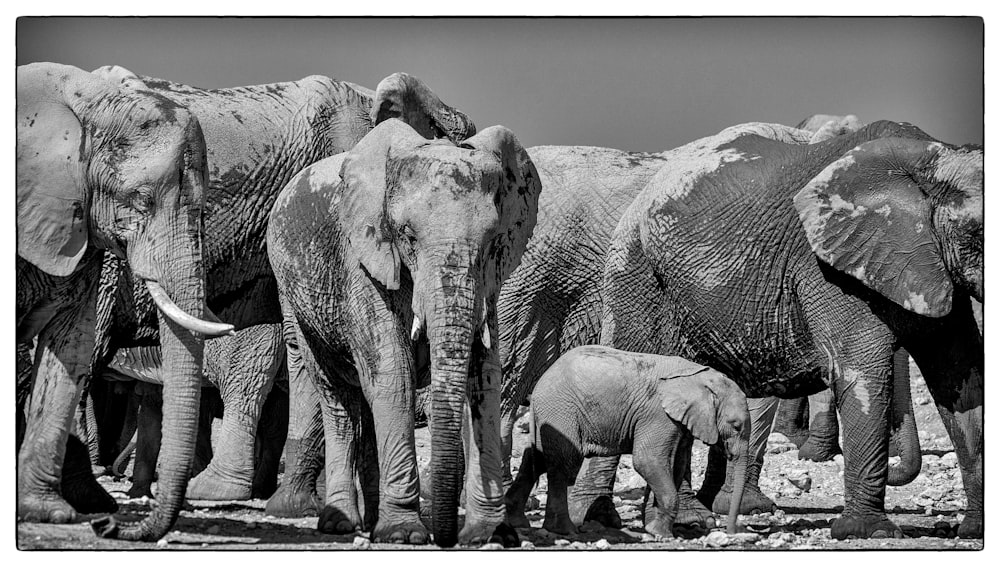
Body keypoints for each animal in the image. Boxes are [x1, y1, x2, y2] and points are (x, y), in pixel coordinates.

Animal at [268, 118, 540, 544]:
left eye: (491, 241)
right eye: (408, 236)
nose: (447, 540)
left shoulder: (488, 282)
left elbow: (485, 376)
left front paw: (490, 536)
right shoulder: (362, 262)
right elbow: (394, 374)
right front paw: (403, 535)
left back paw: (370, 521)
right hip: (292, 294)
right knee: (336, 396)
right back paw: (342, 524)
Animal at [504, 344, 748, 540]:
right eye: (736, 425)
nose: (731, 532)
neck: (700, 377)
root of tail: (538, 386)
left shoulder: (682, 422)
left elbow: (674, 466)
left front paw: (653, 529)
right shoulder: (658, 415)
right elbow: (647, 461)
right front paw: (662, 535)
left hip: (550, 416)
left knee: (535, 460)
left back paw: (518, 523)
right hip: (561, 411)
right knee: (563, 464)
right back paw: (564, 530)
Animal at [596, 121, 980, 540]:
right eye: (978, 233)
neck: (928, 160)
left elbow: (960, 379)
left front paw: (973, 530)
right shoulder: (824, 266)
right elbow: (862, 375)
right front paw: (868, 532)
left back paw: (689, 519)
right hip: (634, 274)